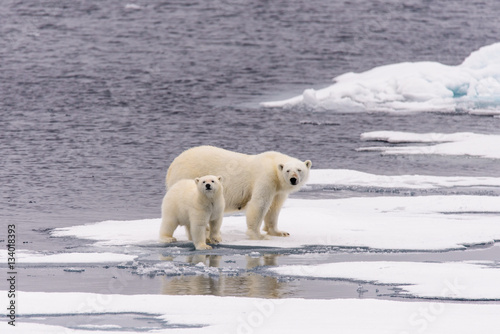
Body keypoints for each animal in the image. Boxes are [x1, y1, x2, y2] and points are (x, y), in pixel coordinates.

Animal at [166, 146, 310, 240]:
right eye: (287, 170)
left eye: (299, 169)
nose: (293, 179)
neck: (273, 164)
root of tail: (171, 166)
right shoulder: (266, 177)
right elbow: (260, 204)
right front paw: (257, 235)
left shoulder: (278, 189)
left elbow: (274, 208)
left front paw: (279, 232)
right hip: (189, 175)